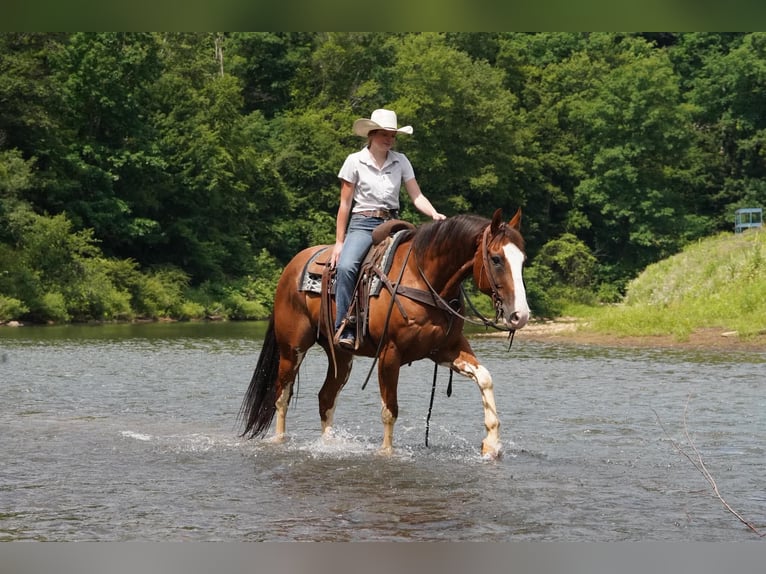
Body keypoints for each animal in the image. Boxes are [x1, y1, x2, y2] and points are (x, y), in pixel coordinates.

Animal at [238, 208, 530, 458]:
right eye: (496, 259)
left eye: (523, 261)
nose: (521, 314)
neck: (423, 279)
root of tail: (292, 267)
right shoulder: (390, 354)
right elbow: (390, 410)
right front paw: (387, 453)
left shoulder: (446, 349)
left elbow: (485, 378)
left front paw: (491, 445)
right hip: (292, 349)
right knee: (281, 397)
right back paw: (279, 441)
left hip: (341, 356)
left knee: (326, 398)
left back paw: (328, 444)